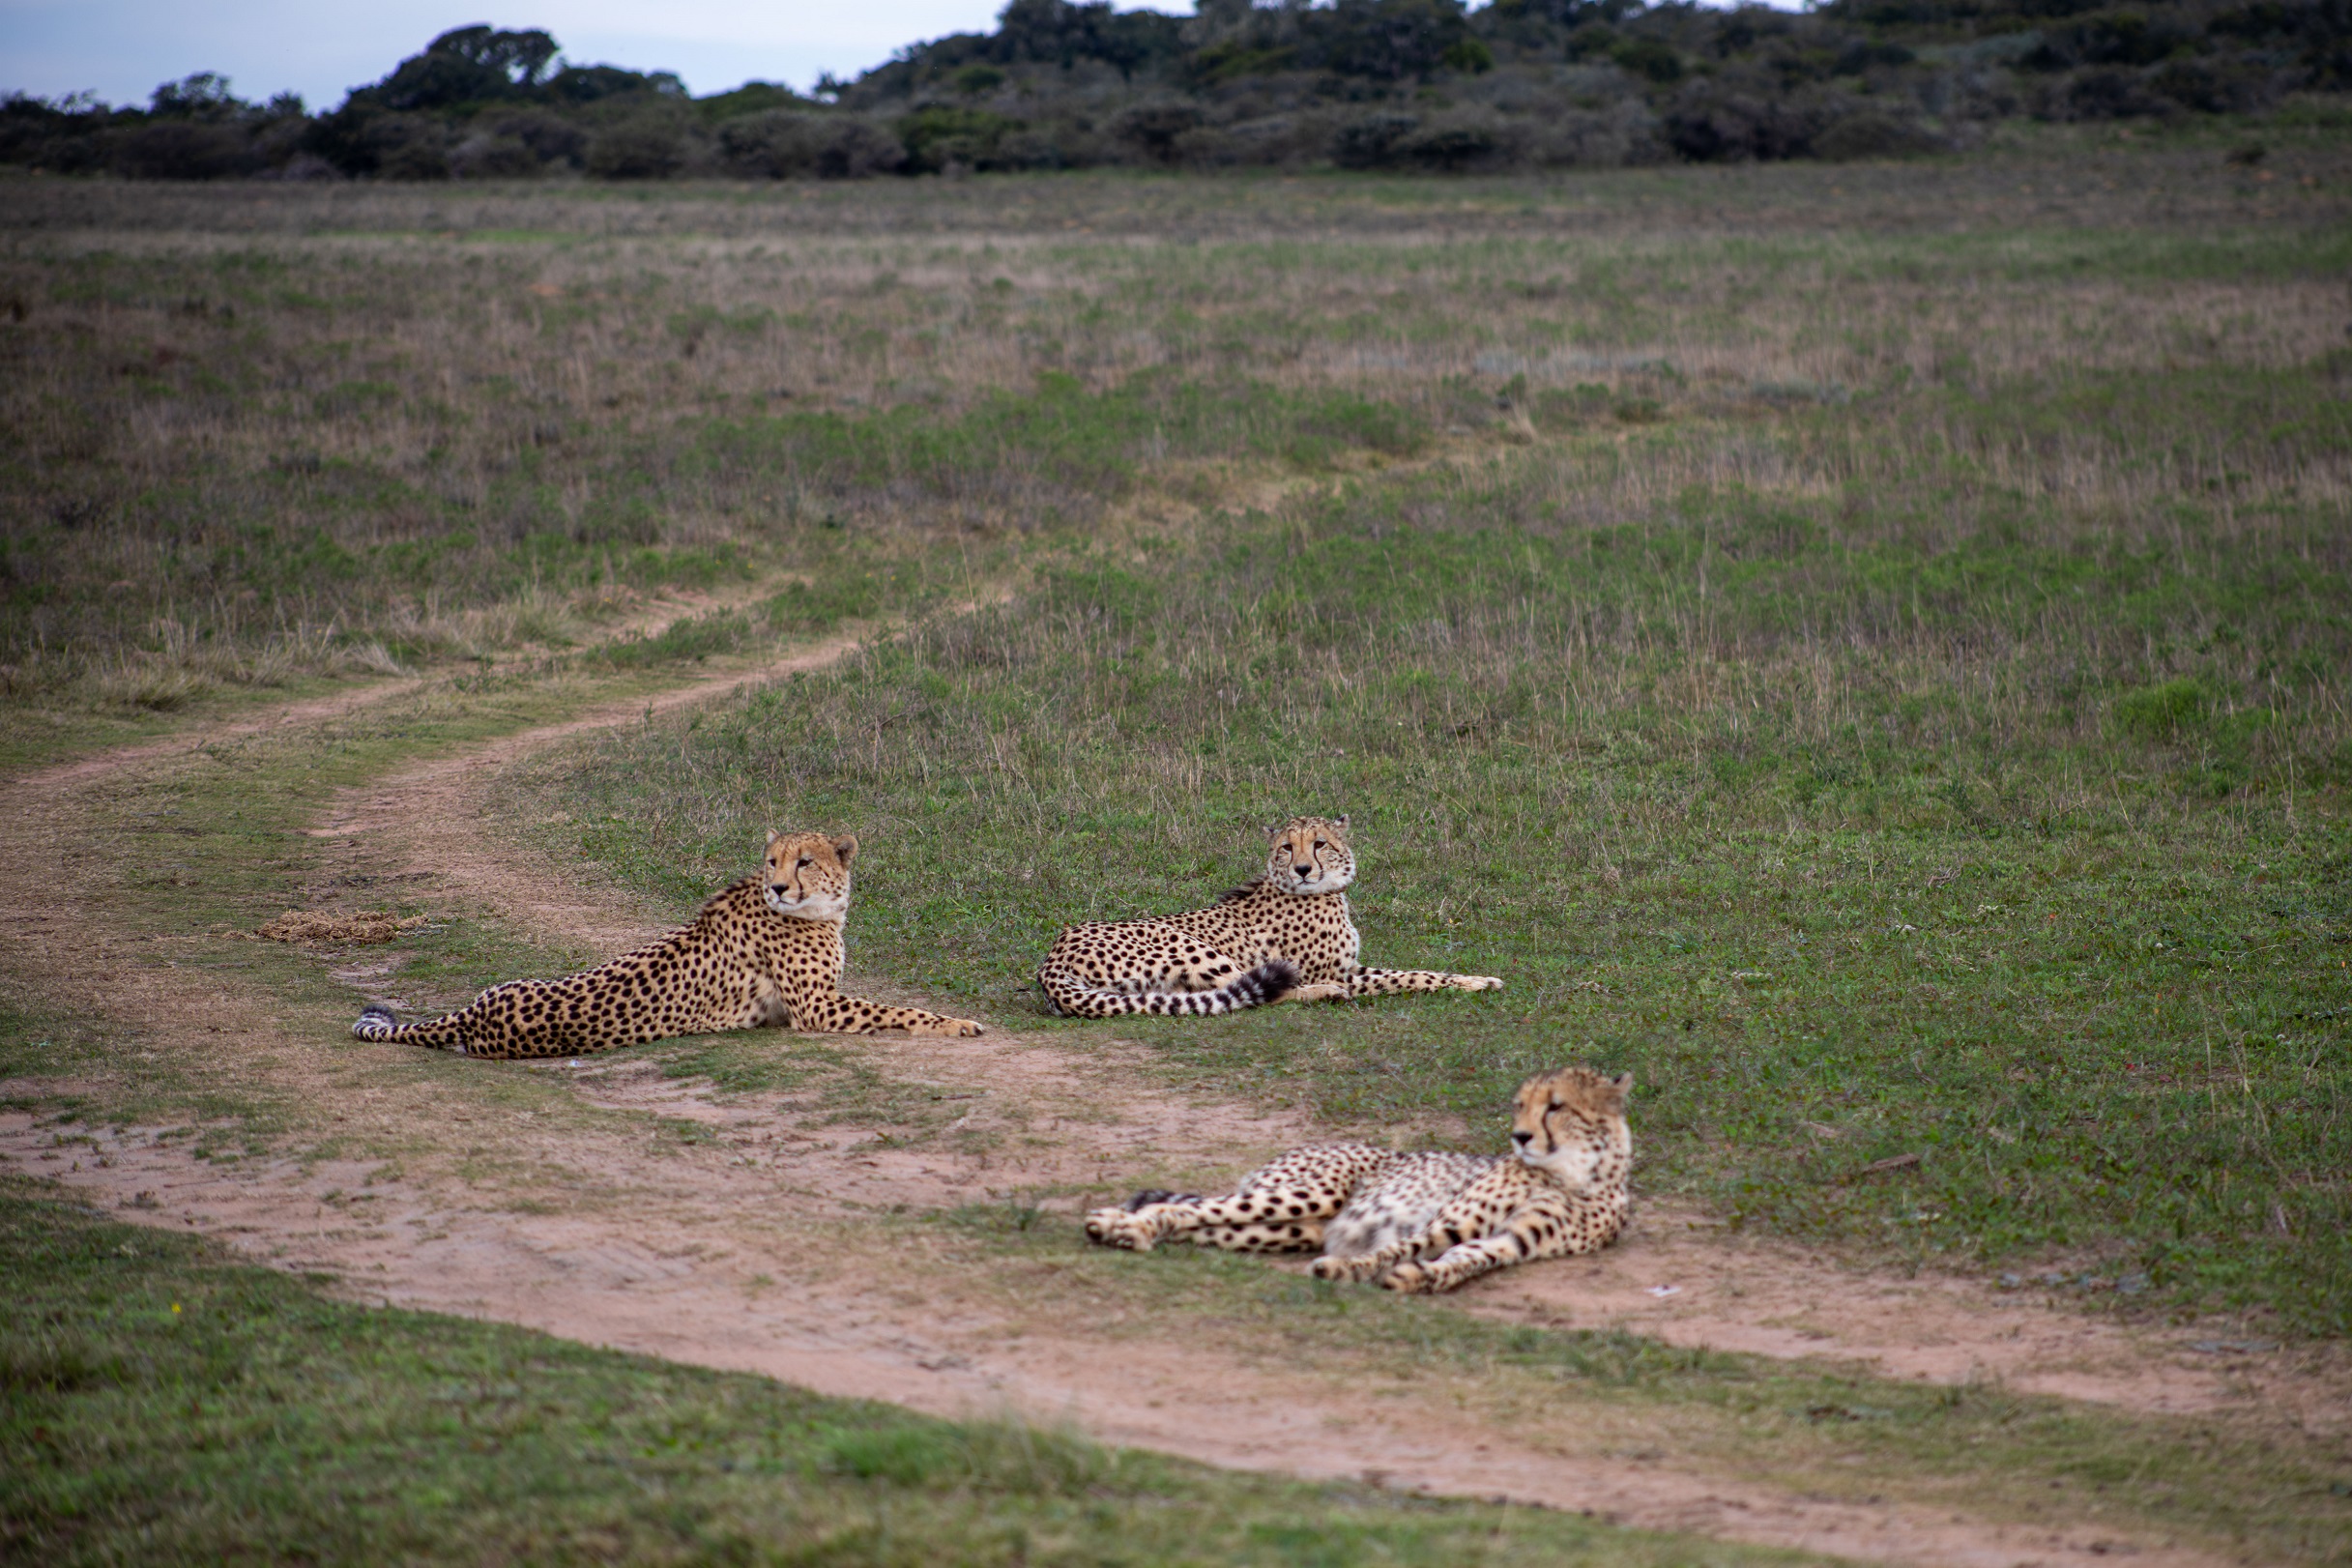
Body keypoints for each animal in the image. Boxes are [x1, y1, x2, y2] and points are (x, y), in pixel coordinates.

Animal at [343, 827, 978, 1062]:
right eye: (773, 861)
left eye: (804, 861)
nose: (778, 886)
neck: (818, 909)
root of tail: (475, 1014)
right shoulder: (818, 1009)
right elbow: (901, 1011)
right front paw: (961, 1024)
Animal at [1034, 818, 1505, 1025]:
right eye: (1286, 847)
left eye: (1319, 844)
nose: (1302, 869)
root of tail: (1050, 959)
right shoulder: (1340, 972)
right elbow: (1409, 978)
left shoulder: (1352, 967)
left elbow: (1418, 971)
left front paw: (1476, 980)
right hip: (1184, 942)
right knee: (1257, 991)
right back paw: (1325, 995)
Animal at [1087, 1067, 1627, 1297]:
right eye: (1521, 1104)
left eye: (1555, 1106)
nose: (1519, 1136)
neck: (1571, 1170)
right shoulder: (1446, 1223)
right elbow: (1398, 1248)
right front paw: (1351, 1270)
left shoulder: (1511, 1241)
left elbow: (1461, 1263)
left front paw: (1418, 1278)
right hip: (1308, 1193)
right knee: (1192, 1208)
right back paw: (1119, 1223)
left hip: (1296, 1226)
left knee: (1202, 1225)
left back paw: (1126, 1230)